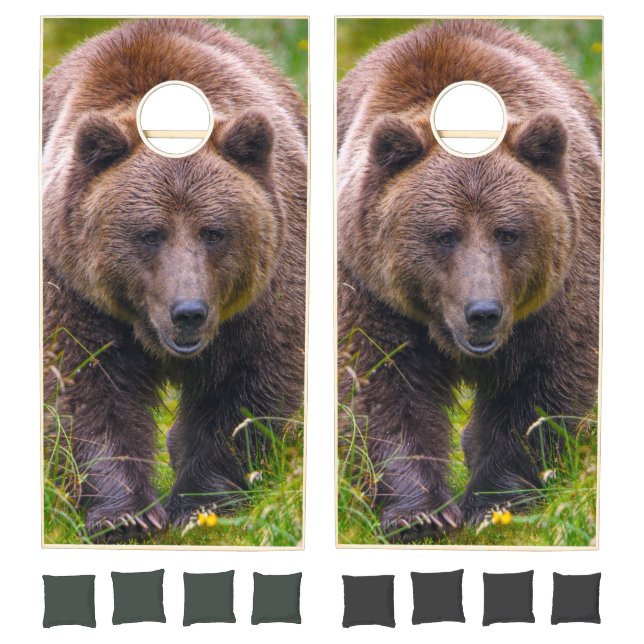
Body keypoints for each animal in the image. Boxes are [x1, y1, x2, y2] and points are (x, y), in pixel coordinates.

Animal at [43, 19, 307, 542]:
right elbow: (86, 385)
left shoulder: (264, 291)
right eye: (150, 234)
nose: (188, 312)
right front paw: (123, 513)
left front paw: (200, 503)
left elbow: (242, 388)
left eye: (213, 231)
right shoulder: (76, 287)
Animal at [337, 20, 601, 543]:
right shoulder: (371, 287)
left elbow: (537, 384)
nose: (483, 312)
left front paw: (497, 502)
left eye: (508, 233)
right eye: (445, 235)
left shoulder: (558, 288)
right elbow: (381, 384)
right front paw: (420, 512)